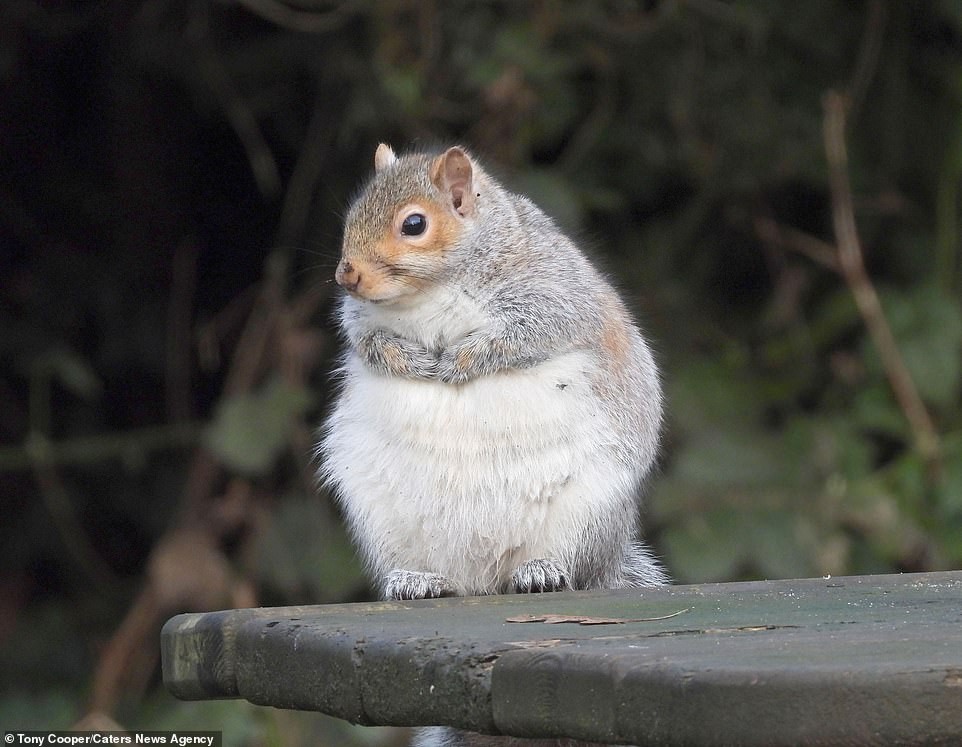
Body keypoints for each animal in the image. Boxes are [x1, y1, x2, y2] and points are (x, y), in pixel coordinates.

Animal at [318, 143, 664, 747]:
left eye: (414, 224)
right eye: (353, 213)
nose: (347, 274)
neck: (429, 293)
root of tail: (482, 580)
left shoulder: (550, 293)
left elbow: (521, 335)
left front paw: (458, 362)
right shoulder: (361, 319)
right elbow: (370, 341)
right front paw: (412, 360)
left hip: (588, 512)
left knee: (567, 563)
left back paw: (541, 572)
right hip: (381, 519)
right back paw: (414, 580)